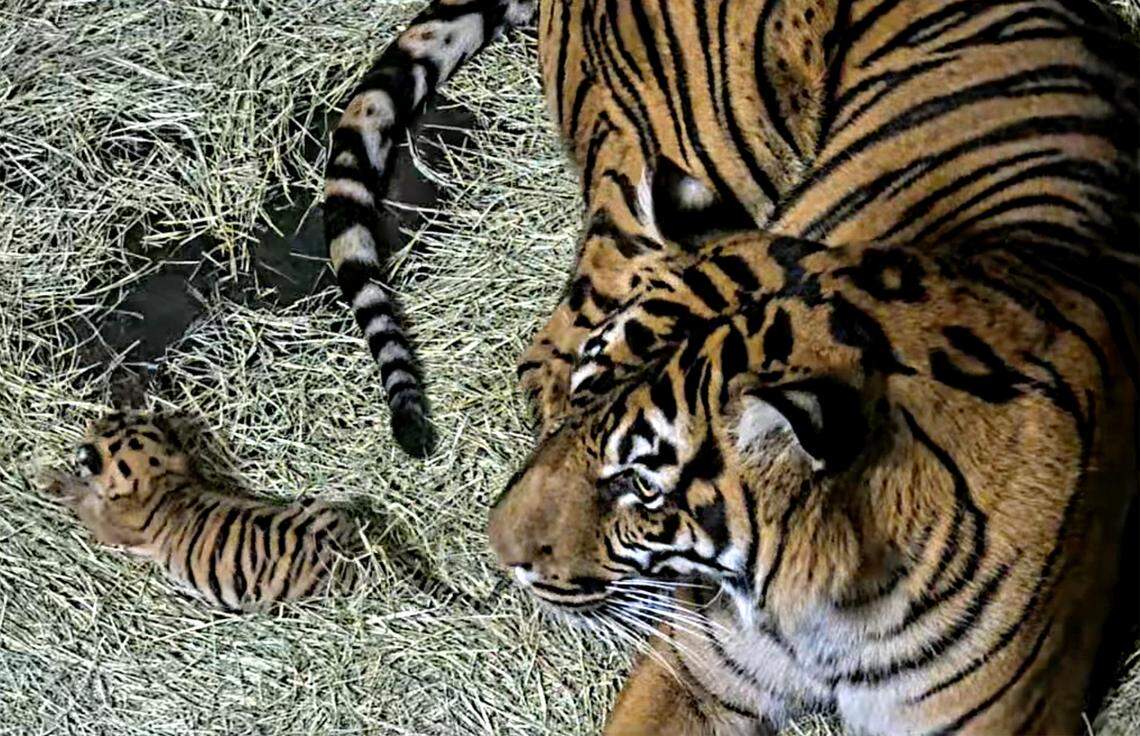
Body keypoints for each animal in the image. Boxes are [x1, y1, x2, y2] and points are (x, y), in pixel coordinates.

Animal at [40, 412, 361, 612]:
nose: (92, 422)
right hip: (320, 507)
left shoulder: (108, 523)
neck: (160, 480)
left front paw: (47, 479)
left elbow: (82, 499)